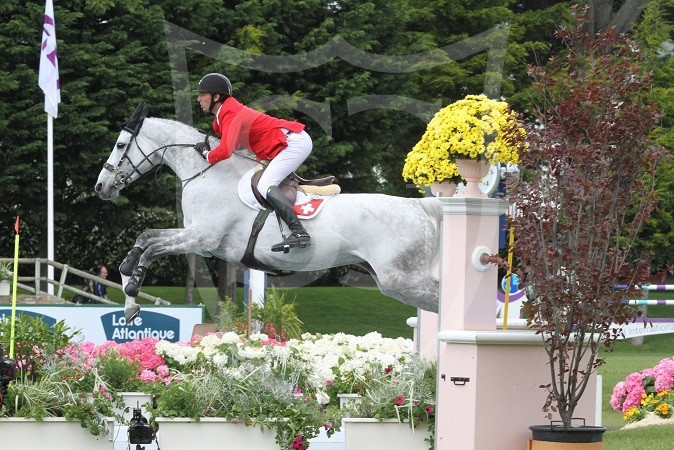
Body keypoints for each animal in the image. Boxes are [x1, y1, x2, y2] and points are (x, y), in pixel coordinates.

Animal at [96, 103, 440, 322]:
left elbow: (152, 248)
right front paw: (128, 297)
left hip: (402, 279)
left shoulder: (202, 239)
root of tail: (418, 207)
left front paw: (132, 285)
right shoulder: (199, 241)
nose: (101, 186)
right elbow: (146, 237)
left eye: (121, 145)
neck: (206, 172)